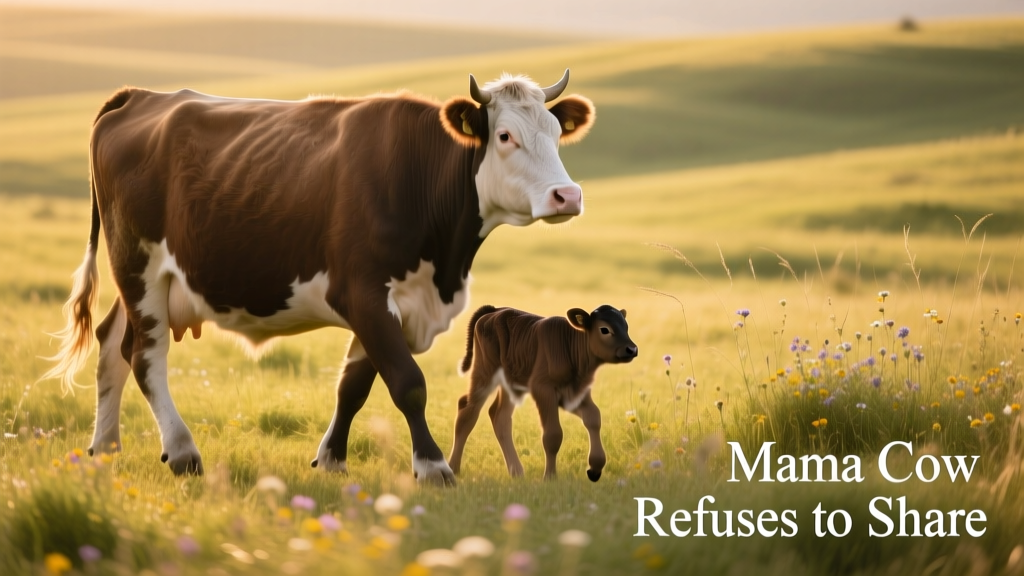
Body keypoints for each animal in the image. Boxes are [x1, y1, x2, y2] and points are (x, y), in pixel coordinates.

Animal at [42, 70, 595, 485]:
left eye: (555, 133)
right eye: (505, 136)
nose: (567, 196)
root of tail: (141, 96)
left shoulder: (394, 304)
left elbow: (353, 386)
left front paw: (331, 459)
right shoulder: (363, 292)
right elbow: (407, 383)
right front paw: (433, 466)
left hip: (143, 279)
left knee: (113, 342)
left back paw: (105, 446)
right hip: (138, 261)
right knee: (145, 356)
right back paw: (181, 451)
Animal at [448, 304, 637, 481]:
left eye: (626, 326)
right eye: (604, 329)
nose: (632, 349)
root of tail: (495, 310)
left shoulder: (575, 394)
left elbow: (594, 418)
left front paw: (595, 468)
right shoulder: (543, 389)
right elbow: (553, 435)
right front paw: (550, 477)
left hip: (511, 382)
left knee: (499, 415)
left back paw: (516, 472)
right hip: (485, 371)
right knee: (468, 410)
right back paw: (453, 469)